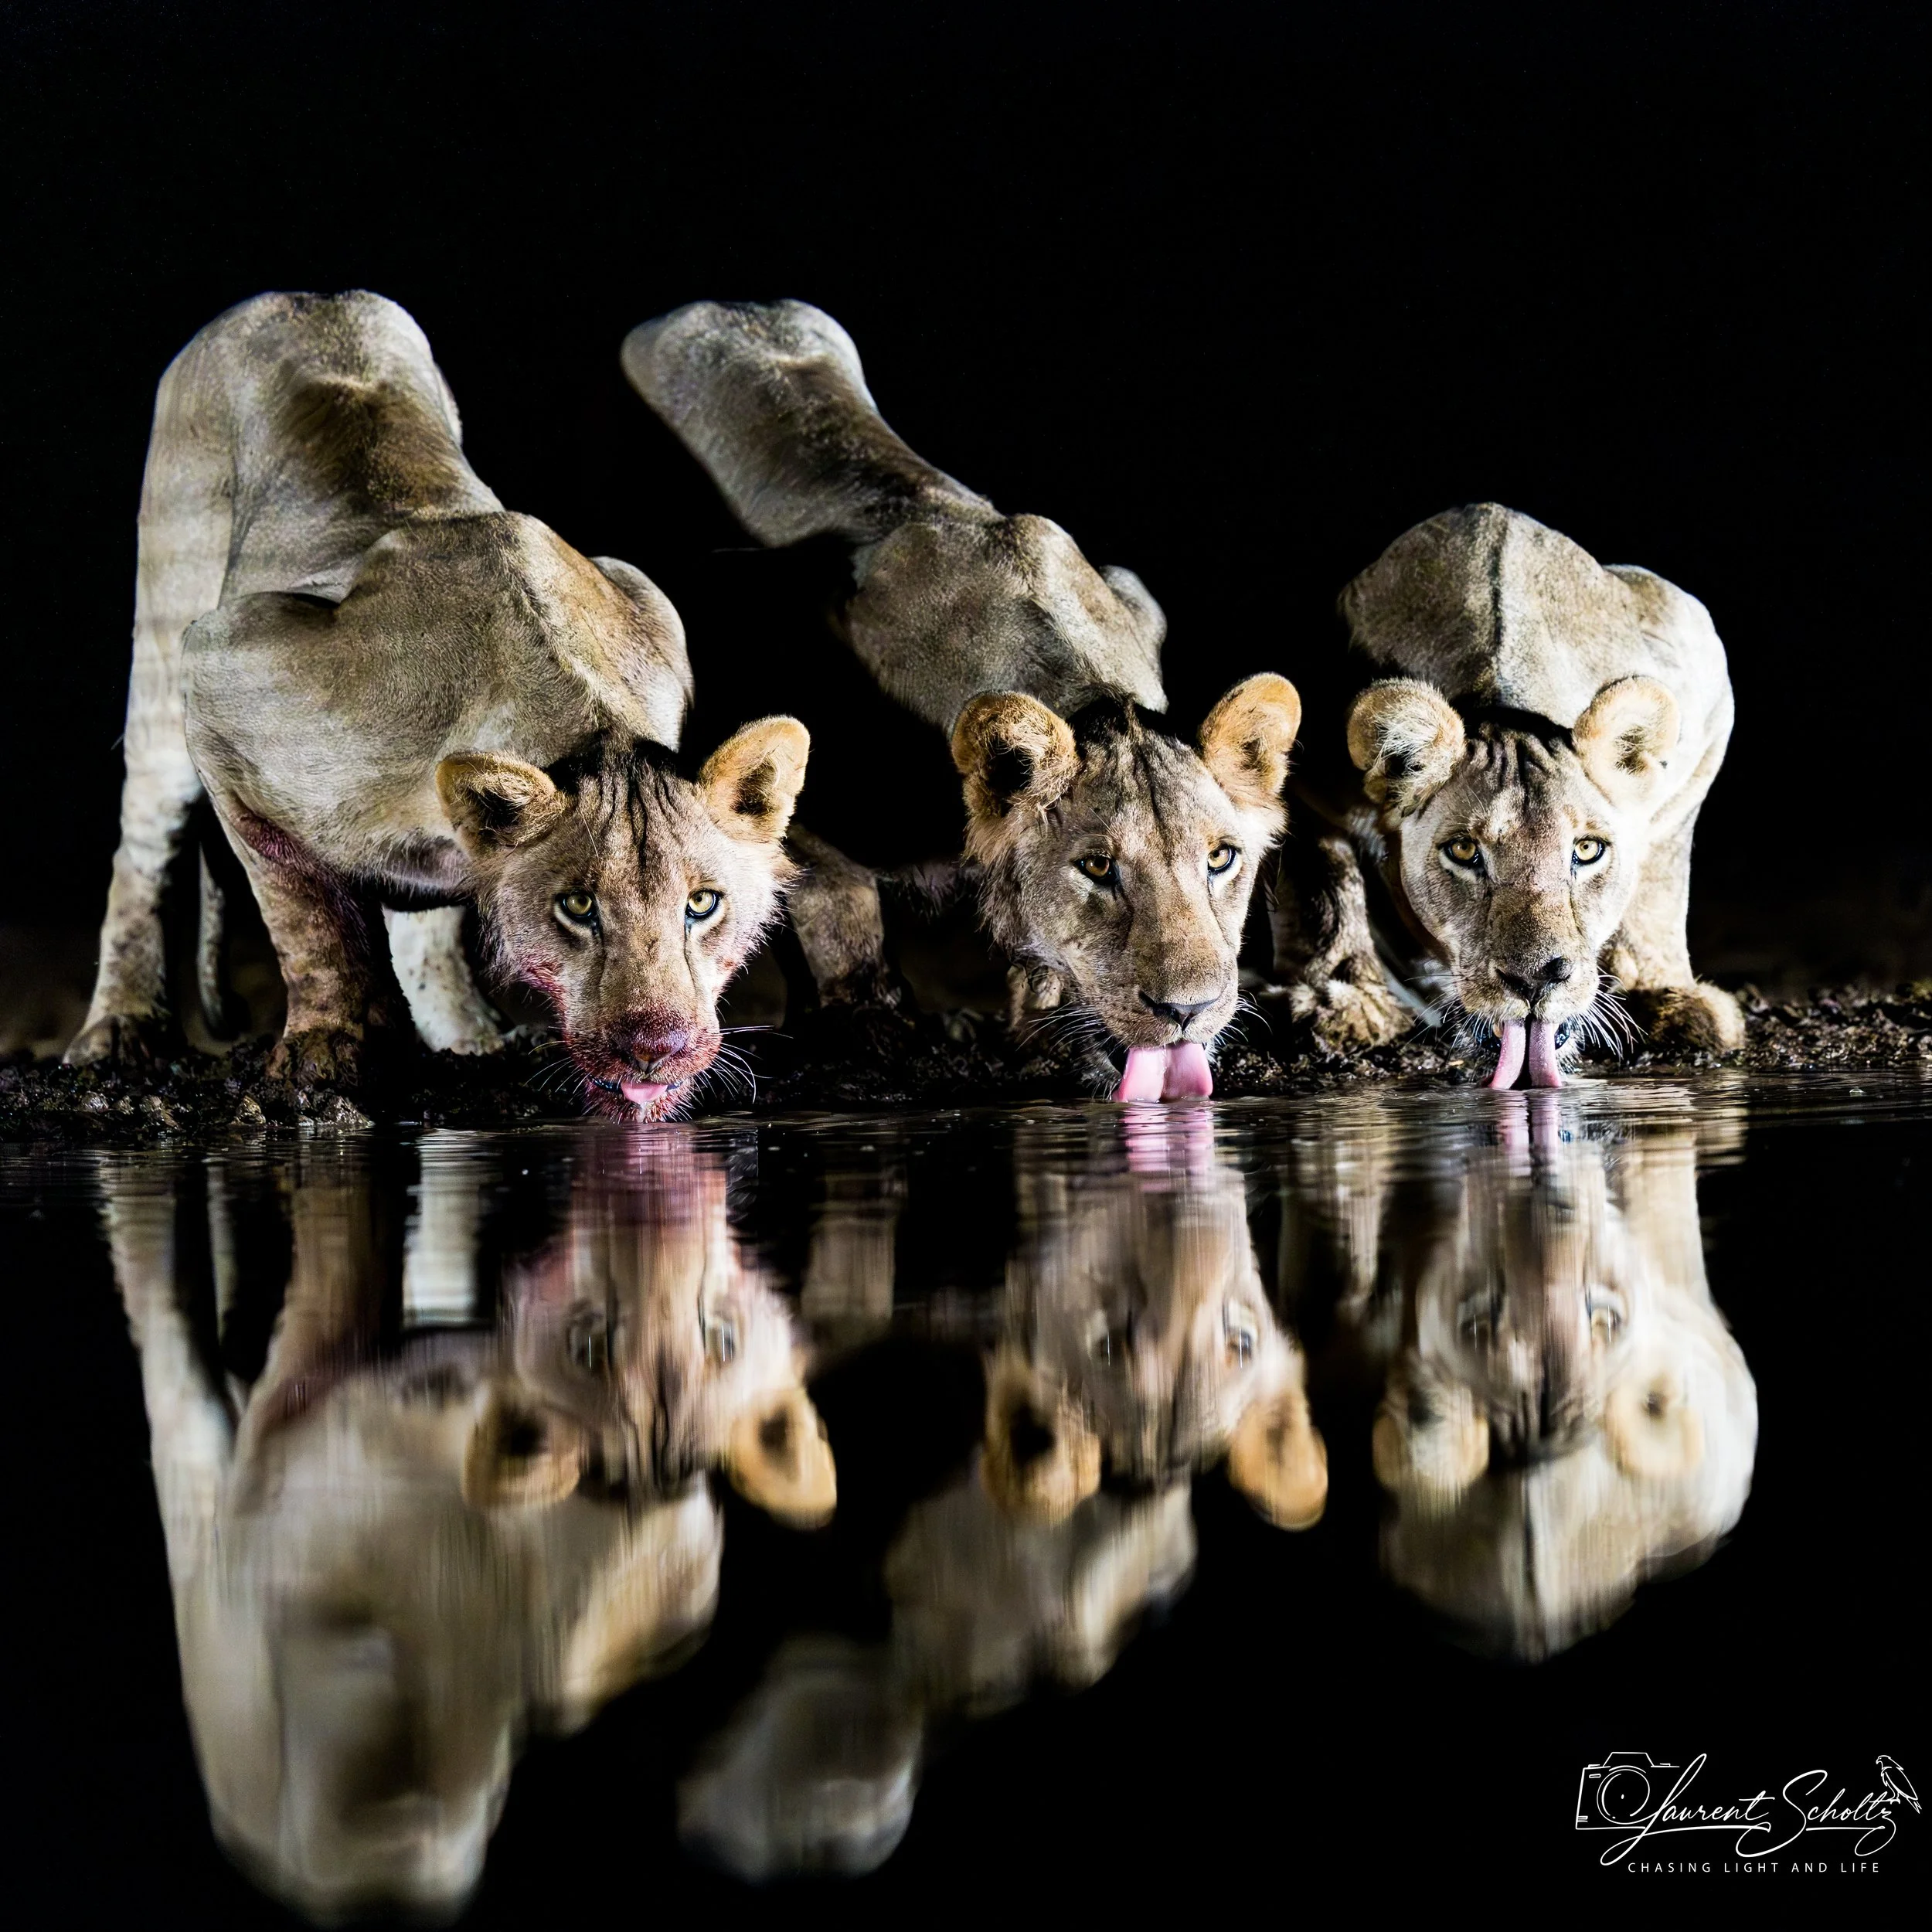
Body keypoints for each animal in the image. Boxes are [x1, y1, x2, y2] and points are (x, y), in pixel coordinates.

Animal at [69, 291, 807, 1119]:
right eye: (578, 907)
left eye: (704, 904)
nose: (656, 1048)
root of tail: (302, 295)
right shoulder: (222, 663)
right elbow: (305, 910)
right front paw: (331, 1050)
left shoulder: (642, 596)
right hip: (167, 633)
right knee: (143, 847)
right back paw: (118, 1031)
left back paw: (468, 1033)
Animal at [98, 1131, 832, 1920]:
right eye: (590, 1347)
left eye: (723, 1340)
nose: (659, 1221)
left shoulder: (285, 1421)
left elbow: (318, 1254)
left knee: (168, 1349)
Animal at [622, 299, 1302, 1101]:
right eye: (1097, 867)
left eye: (1222, 858)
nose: (1190, 1010)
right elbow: (837, 915)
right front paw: (870, 1035)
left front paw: (1041, 1037)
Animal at [1276, 503, 1741, 1084]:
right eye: (1463, 851)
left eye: (1587, 850)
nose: (1537, 980)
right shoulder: (1297, 758)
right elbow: (1327, 886)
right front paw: (1341, 1001)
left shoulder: (1701, 694)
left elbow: (1659, 884)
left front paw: (1666, 996)